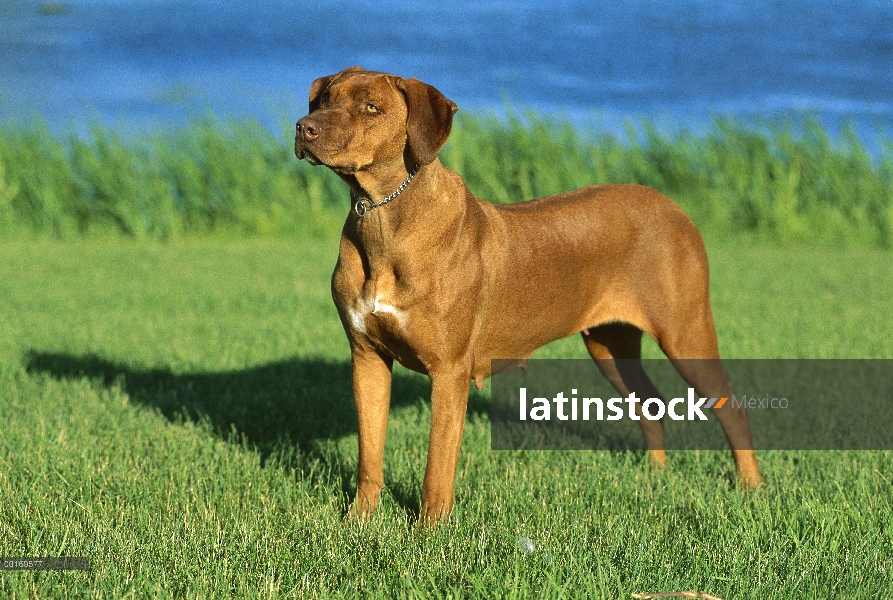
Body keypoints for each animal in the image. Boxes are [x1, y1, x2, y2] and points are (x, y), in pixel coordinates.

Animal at [292, 68, 760, 524]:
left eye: (372, 108)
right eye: (326, 98)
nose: (303, 127)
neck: (383, 215)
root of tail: (673, 206)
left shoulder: (449, 370)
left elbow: (436, 468)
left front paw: (430, 533)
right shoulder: (367, 357)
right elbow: (369, 456)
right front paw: (358, 522)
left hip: (685, 331)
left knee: (731, 406)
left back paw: (751, 487)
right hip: (609, 343)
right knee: (649, 401)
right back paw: (654, 476)